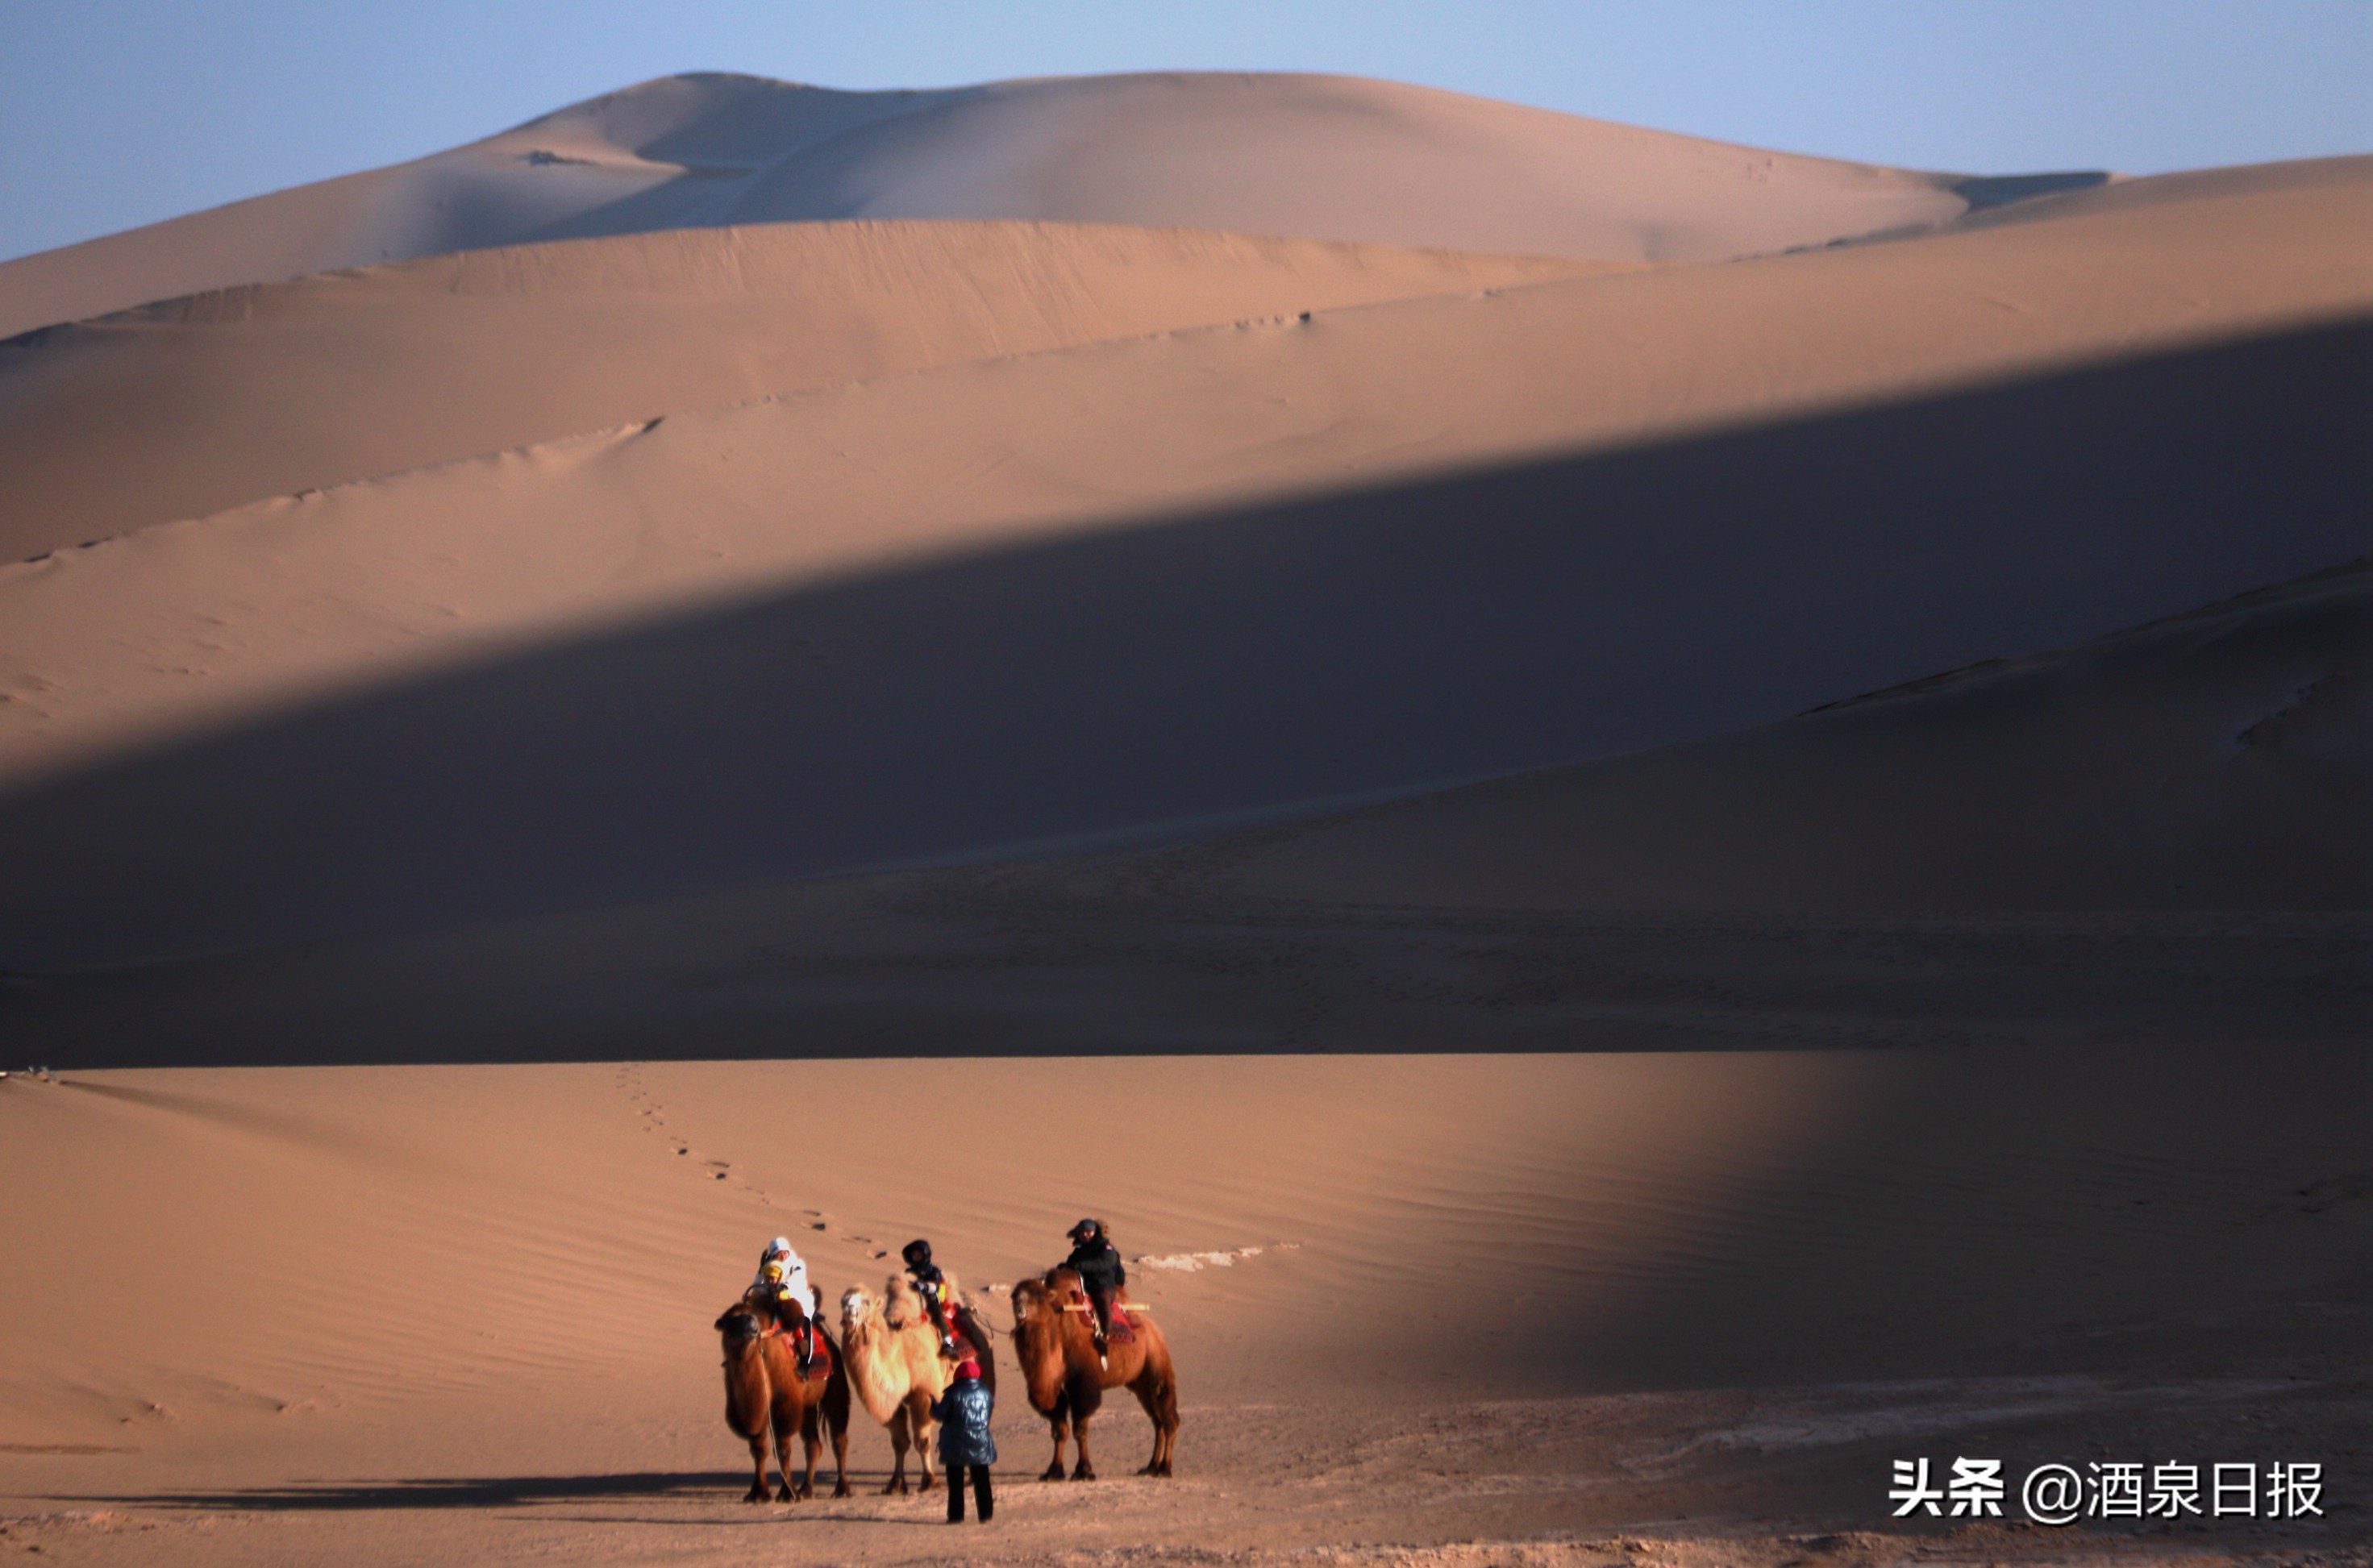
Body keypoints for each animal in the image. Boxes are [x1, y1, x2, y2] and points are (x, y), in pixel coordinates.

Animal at [711, 1290, 854, 1499]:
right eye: (732, 1321)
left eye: (753, 1318)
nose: (752, 1329)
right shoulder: (755, 1410)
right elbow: (758, 1448)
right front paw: (758, 1493)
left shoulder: (784, 1405)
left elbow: (782, 1448)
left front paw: (787, 1494)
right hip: (808, 1406)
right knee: (813, 1445)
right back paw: (806, 1490)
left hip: (835, 1389)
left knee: (839, 1440)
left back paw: (842, 1490)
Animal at [835, 1271, 992, 1489]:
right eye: (843, 1301)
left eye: (866, 1302)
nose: (849, 1312)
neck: (897, 1353)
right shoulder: (894, 1402)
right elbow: (899, 1442)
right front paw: (895, 1484)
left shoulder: (924, 1393)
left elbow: (921, 1441)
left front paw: (929, 1481)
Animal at [1010, 1262, 1176, 1470]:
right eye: (1014, 1295)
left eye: (1039, 1296)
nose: (1019, 1304)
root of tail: (1155, 1329)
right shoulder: (1052, 1387)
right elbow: (1059, 1430)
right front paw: (1054, 1470)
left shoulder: (1083, 1383)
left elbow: (1080, 1429)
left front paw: (1084, 1470)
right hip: (1139, 1382)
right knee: (1157, 1420)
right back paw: (1151, 1467)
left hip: (1157, 1363)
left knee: (1169, 1417)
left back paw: (1164, 1468)